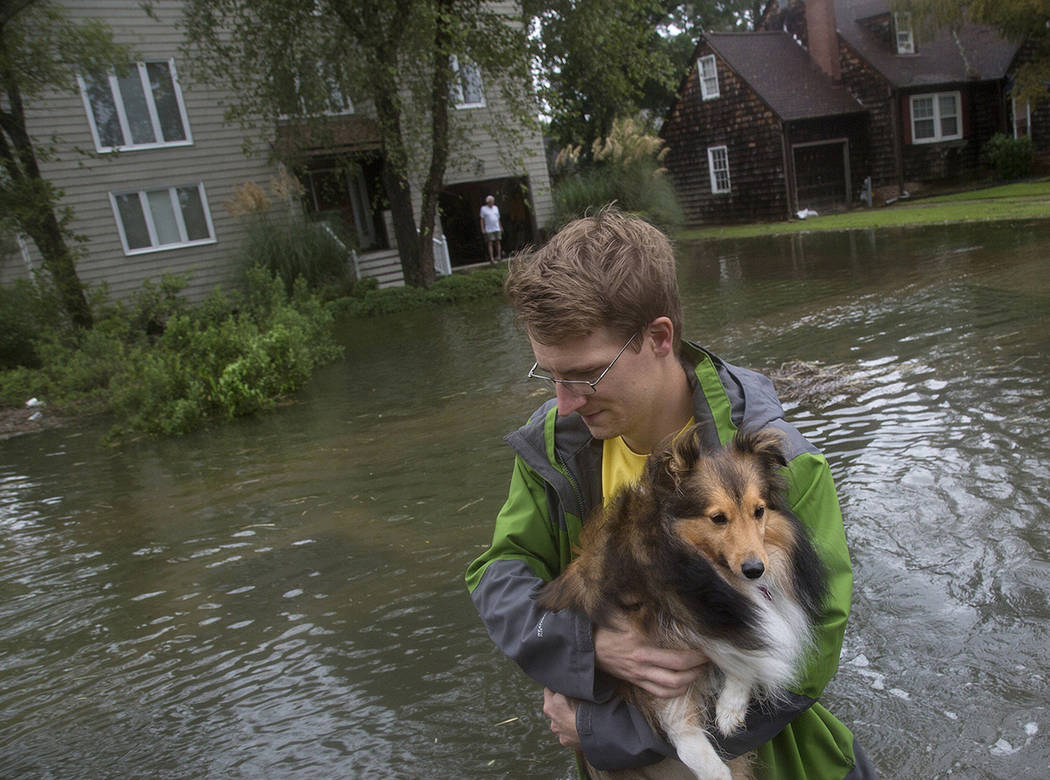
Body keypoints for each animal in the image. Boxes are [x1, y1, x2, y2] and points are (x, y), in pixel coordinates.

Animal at [541, 426, 827, 780]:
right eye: (718, 518)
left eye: (759, 511)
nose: (755, 570)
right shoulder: (665, 645)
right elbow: (688, 732)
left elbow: (746, 652)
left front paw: (730, 708)